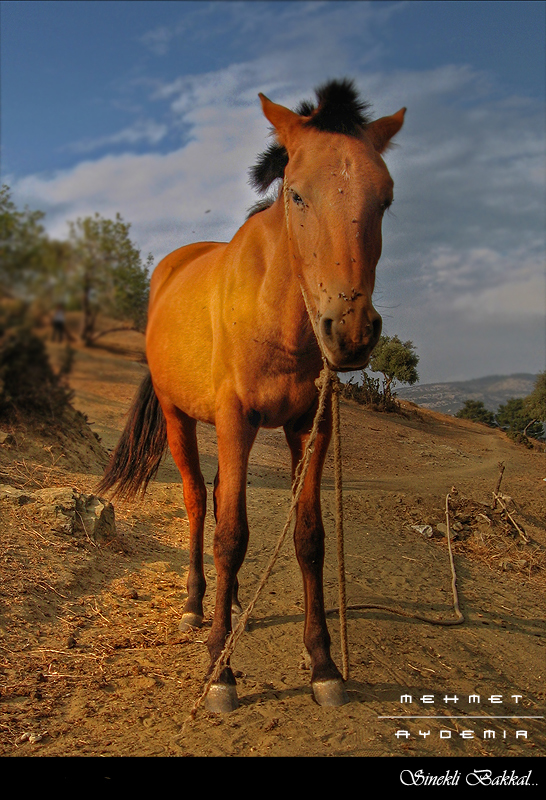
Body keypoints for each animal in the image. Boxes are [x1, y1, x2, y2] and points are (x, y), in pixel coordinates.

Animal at [98, 79, 404, 712]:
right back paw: (197, 605)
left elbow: (309, 537)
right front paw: (221, 670)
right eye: (297, 195)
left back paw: (232, 601)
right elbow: (230, 535)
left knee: (216, 497)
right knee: (197, 501)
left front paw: (323, 663)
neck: (274, 312)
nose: (351, 330)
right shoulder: (236, 420)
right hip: (180, 418)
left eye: (384, 199)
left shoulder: (309, 427)